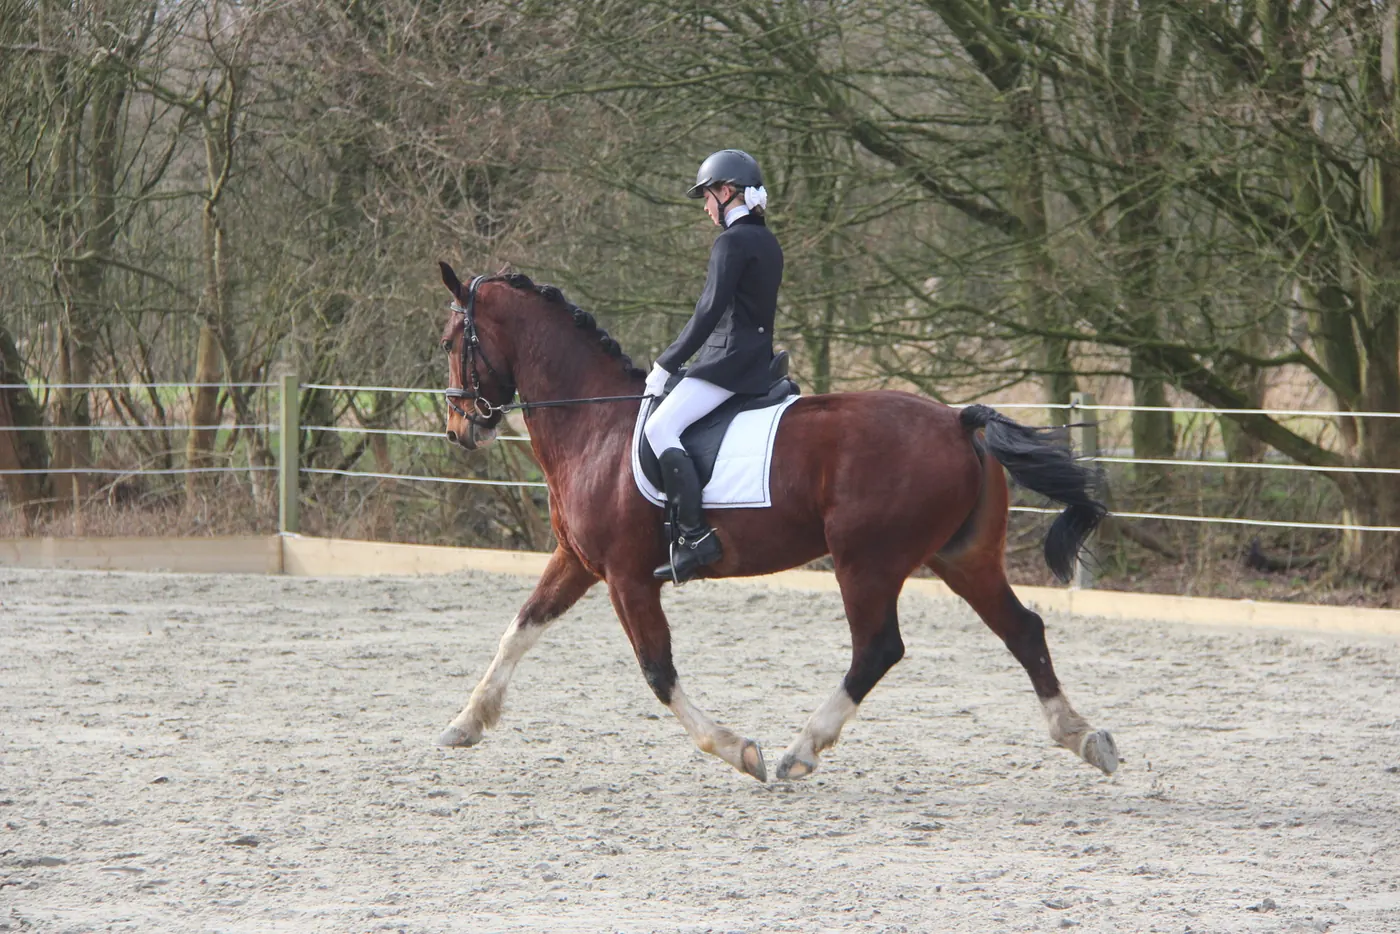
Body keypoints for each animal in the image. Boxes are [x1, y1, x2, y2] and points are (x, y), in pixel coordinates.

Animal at [434, 263, 1118, 782]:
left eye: (448, 342)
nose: (459, 429)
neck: (592, 426)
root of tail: (958, 420)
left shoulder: (627, 576)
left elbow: (658, 672)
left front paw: (738, 750)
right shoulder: (577, 560)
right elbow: (519, 630)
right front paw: (465, 723)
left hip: (866, 562)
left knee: (878, 649)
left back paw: (800, 751)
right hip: (961, 557)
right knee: (1023, 630)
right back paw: (1084, 738)